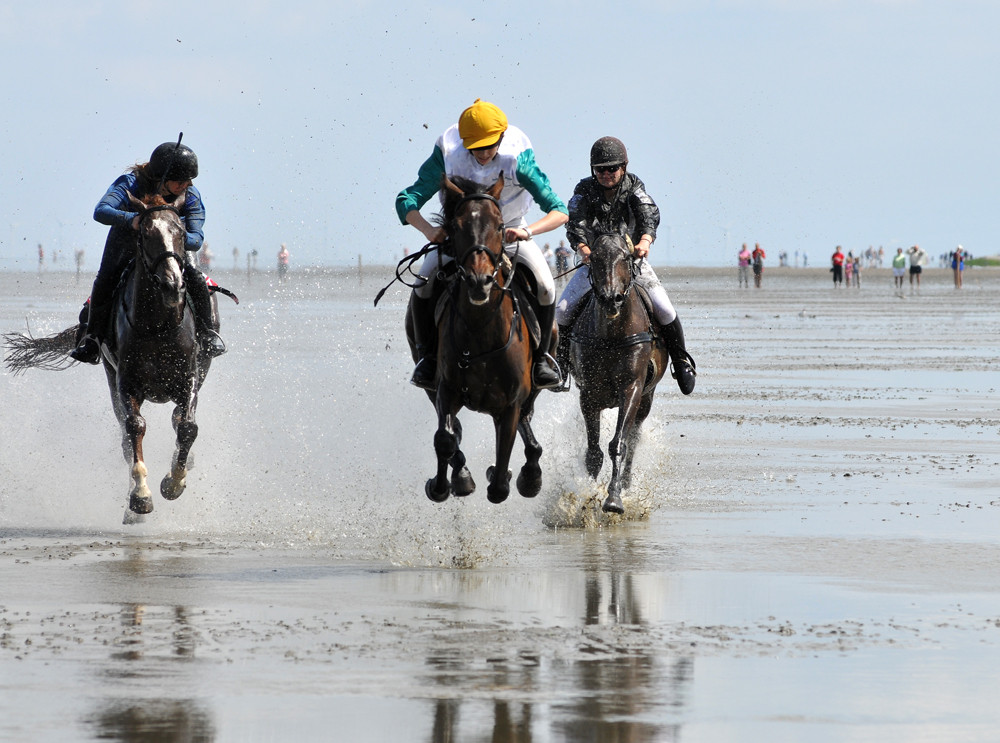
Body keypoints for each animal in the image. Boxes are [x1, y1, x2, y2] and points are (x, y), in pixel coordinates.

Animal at [5, 190, 217, 524]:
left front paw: (174, 482)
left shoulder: (189, 377)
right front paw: (140, 498)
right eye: (145, 234)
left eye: (182, 233)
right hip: (109, 374)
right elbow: (134, 429)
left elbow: (187, 427)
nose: (172, 284)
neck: (158, 326)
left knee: (176, 419)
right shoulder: (125, 382)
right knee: (126, 438)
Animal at [404, 176, 552, 506]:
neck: (479, 330)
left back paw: (528, 474)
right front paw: (444, 484)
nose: (478, 281)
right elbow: (446, 438)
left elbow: (499, 482)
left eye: (499, 226)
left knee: (527, 429)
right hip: (430, 384)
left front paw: (513, 476)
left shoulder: (511, 403)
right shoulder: (445, 389)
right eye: (456, 226)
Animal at [568, 235, 668, 516]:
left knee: (633, 439)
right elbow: (593, 453)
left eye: (626, 256)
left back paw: (625, 483)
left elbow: (619, 444)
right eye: (595, 257)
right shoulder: (589, 395)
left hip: (646, 400)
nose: (611, 299)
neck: (611, 335)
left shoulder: (631, 390)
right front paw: (586, 497)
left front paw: (613, 498)